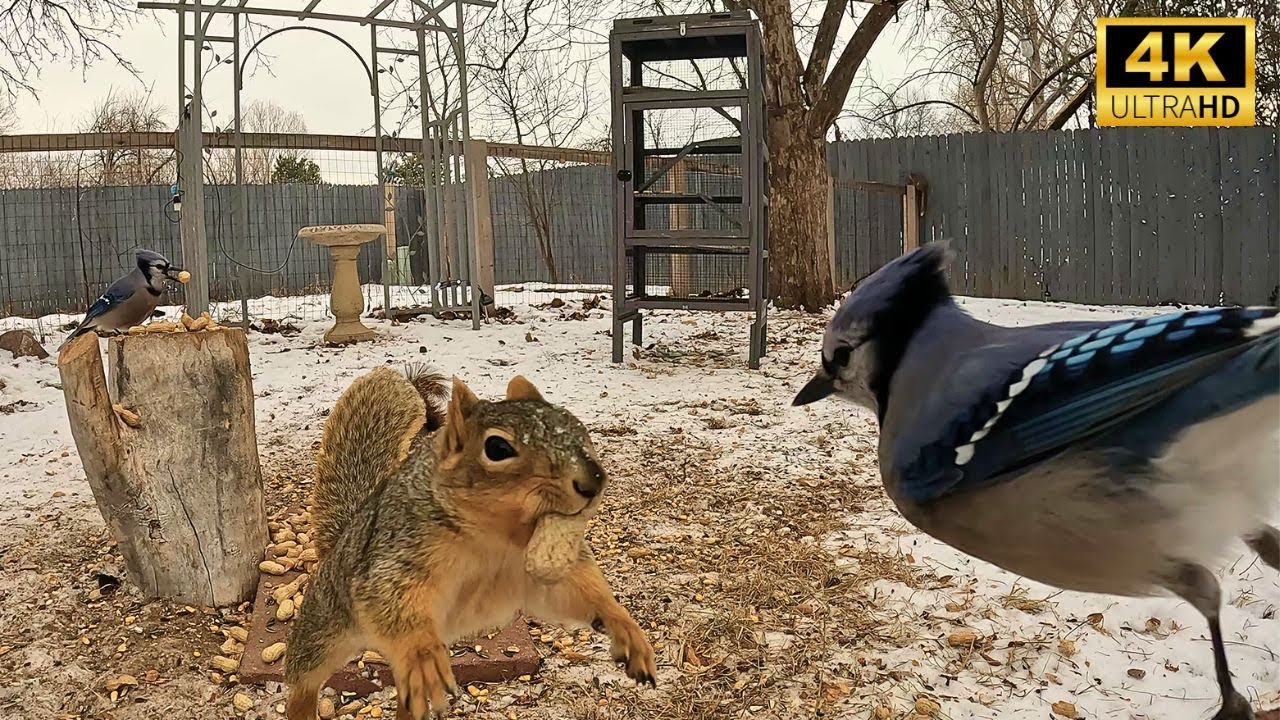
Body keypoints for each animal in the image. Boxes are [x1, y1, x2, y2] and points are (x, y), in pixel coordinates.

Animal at [285, 365, 656, 720]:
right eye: (497, 448)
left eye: (575, 423)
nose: (594, 481)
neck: (494, 536)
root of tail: (340, 541)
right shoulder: (396, 557)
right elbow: (394, 600)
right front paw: (422, 653)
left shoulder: (540, 570)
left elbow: (578, 592)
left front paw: (627, 629)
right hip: (324, 625)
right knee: (304, 678)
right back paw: (302, 707)